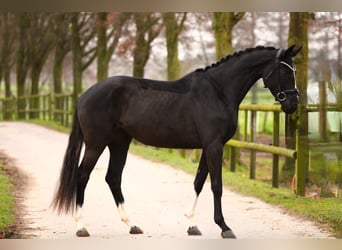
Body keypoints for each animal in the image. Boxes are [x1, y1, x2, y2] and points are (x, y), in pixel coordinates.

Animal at [52, 45, 300, 238]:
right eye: (283, 69)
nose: (293, 104)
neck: (218, 91)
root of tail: (85, 95)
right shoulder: (214, 146)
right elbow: (216, 185)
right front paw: (224, 227)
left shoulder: (208, 147)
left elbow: (199, 182)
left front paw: (192, 224)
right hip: (96, 144)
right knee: (82, 176)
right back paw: (81, 227)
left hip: (120, 142)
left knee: (113, 177)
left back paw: (132, 225)